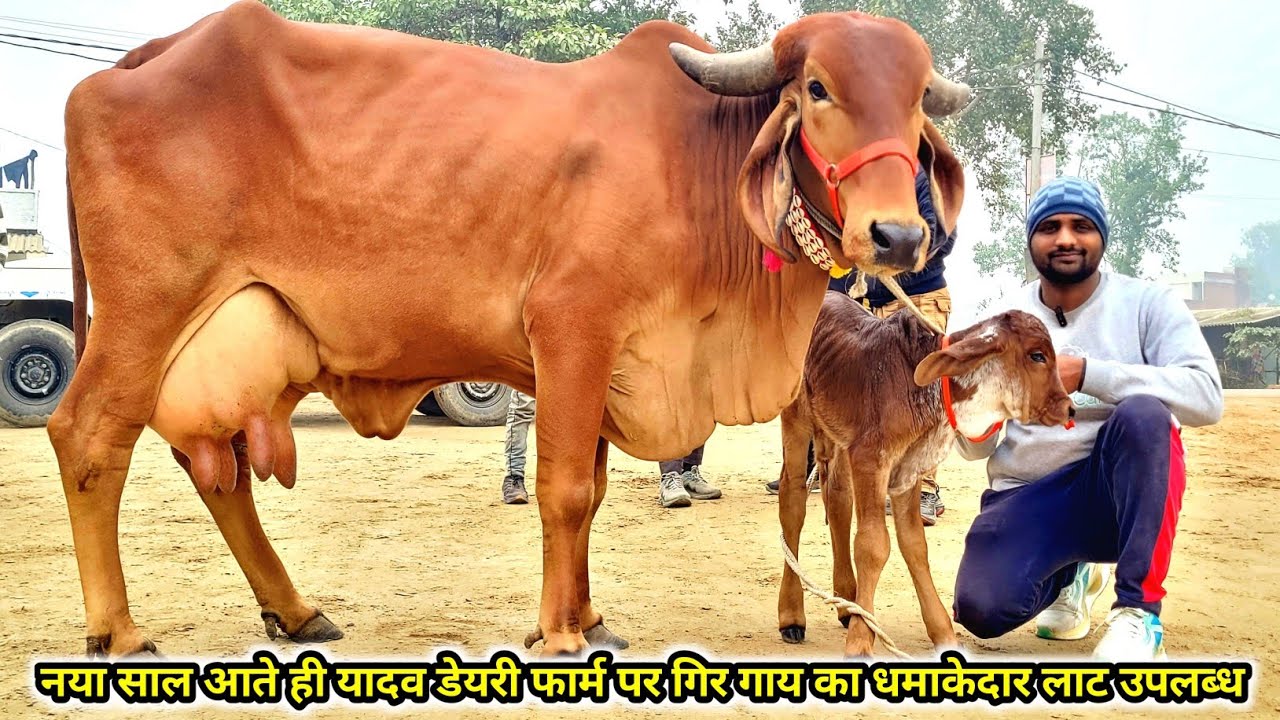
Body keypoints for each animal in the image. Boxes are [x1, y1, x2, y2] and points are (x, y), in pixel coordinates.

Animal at [52, 0, 972, 657]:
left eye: (915, 100)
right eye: (816, 89)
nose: (897, 237)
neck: (694, 161)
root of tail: (149, 55)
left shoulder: (605, 364)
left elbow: (592, 493)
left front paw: (587, 618)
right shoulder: (573, 330)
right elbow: (562, 492)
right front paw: (561, 634)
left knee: (216, 470)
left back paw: (296, 609)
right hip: (144, 314)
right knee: (89, 438)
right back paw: (118, 631)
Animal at [776, 293, 1074, 657]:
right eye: (1037, 355)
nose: (1068, 408)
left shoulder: (906, 470)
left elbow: (915, 546)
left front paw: (943, 633)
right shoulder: (870, 459)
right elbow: (873, 546)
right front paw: (861, 640)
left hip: (837, 438)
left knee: (837, 498)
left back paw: (847, 603)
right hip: (797, 418)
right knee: (793, 500)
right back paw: (792, 616)